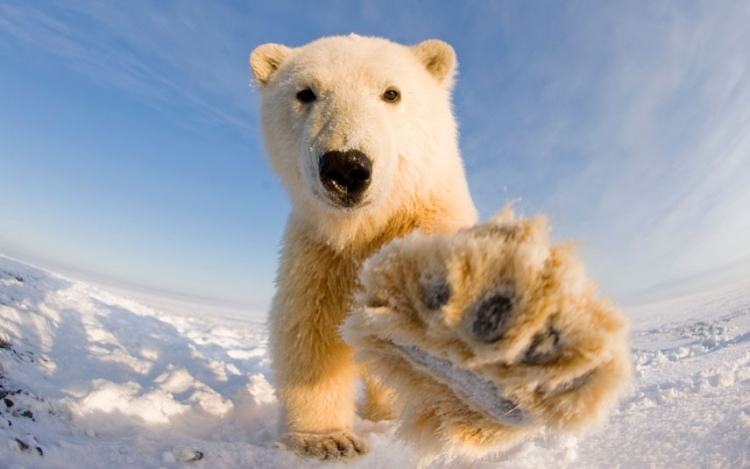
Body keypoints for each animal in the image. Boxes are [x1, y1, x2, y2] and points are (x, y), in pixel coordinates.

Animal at [250, 33, 632, 460]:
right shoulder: (319, 254)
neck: (366, 229)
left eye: (392, 93)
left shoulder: (430, 221)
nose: (346, 166)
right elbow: (308, 333)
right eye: (305, 93)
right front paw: (325, 439)